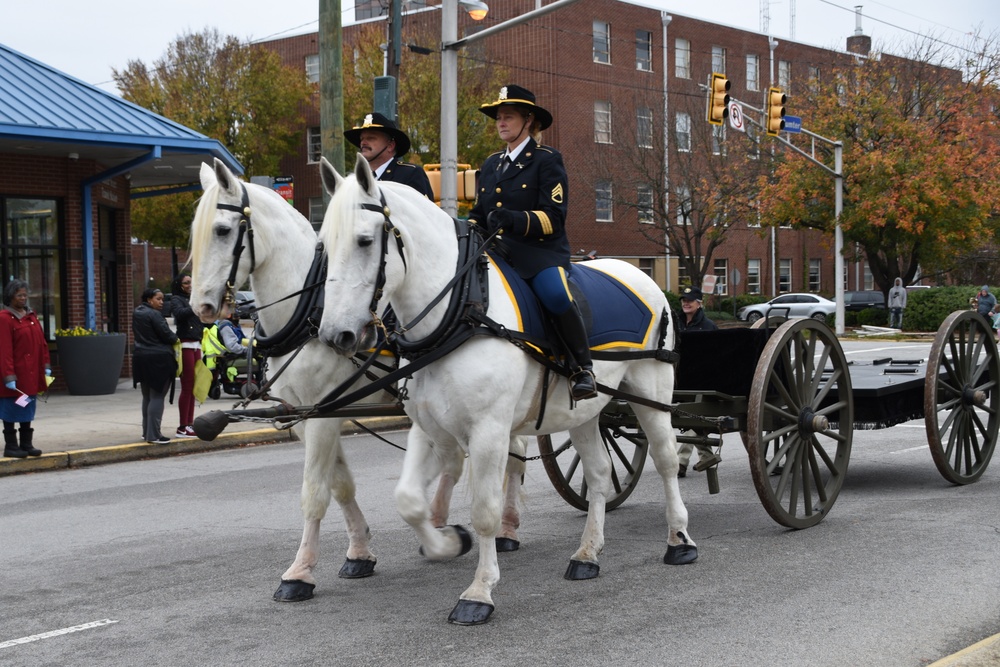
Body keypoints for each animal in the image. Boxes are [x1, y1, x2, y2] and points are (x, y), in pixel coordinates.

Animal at [189, 158, 532, 604]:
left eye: (221, 230)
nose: (200, 306)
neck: (310, 312)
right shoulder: (311, 414)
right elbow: (340, 486)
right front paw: (359, 552)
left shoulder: (324, 414)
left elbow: (315, 492)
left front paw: (300, 572)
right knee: (459, 460)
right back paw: (440, 523)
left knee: (514, 454)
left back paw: (505, 527)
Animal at [318, 157, 696, 628]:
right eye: (323, 245)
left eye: (365, 241)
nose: (336, 335)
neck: (461, 311)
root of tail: (638, 273)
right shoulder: (430, 429)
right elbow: (408, 500)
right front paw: (448, 543)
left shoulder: (490, 432)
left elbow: (485, 512)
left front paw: (479, 591)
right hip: (586, 412)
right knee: (598, 475)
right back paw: (587, 554)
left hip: (652, 389)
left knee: (665, 460)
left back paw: (679, 539)